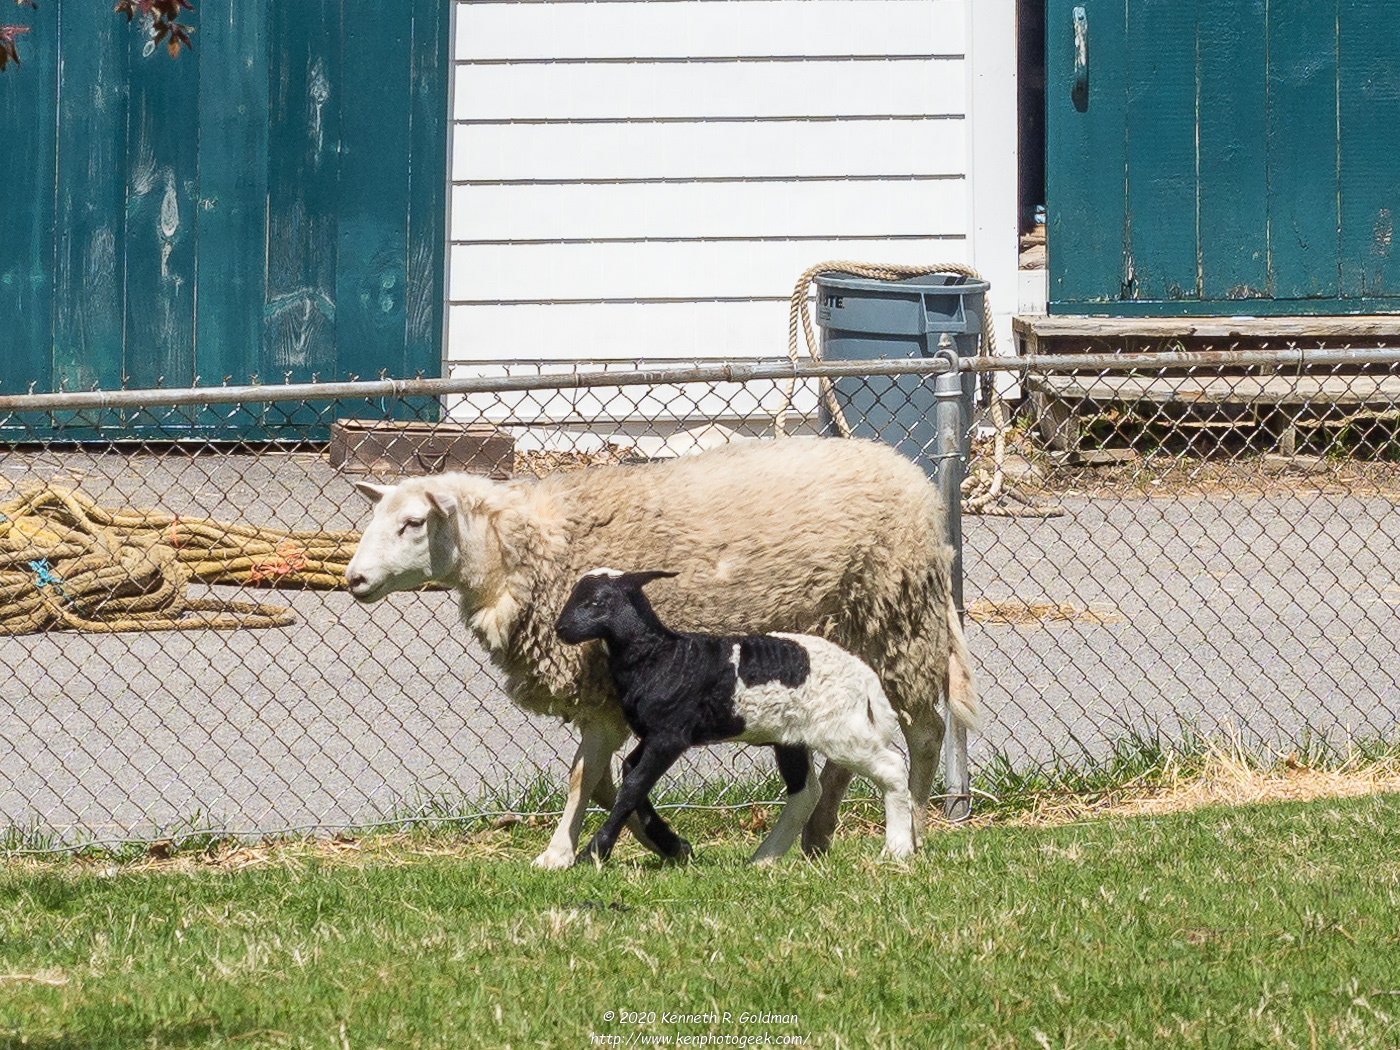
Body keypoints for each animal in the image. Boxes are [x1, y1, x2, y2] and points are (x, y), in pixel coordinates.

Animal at [554, 568, 915, 864]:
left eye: (597, 601)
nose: (561, 628)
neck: (661, 656)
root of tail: (864, 674)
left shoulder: (671, 735)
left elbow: (632, 786)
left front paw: (594, 852)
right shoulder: (654, 733)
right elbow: (632, 776)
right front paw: (672, 846)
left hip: (839, 729)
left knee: (893, 768)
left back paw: (897, 849)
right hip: (792, 737)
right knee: (805, 793)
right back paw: (763, 859)